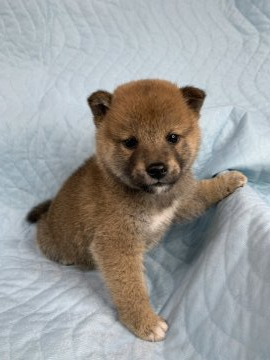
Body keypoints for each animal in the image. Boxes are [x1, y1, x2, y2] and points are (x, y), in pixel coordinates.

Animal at [28, 79, 247, 340]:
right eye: (130, 142)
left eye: (172, 137)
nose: (157, 169)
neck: (149, 197)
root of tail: (48, 214)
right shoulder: (116, 244)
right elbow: (130, 289)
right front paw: (145, 322)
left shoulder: (182, 201)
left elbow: (203, 192)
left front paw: (229, 180)